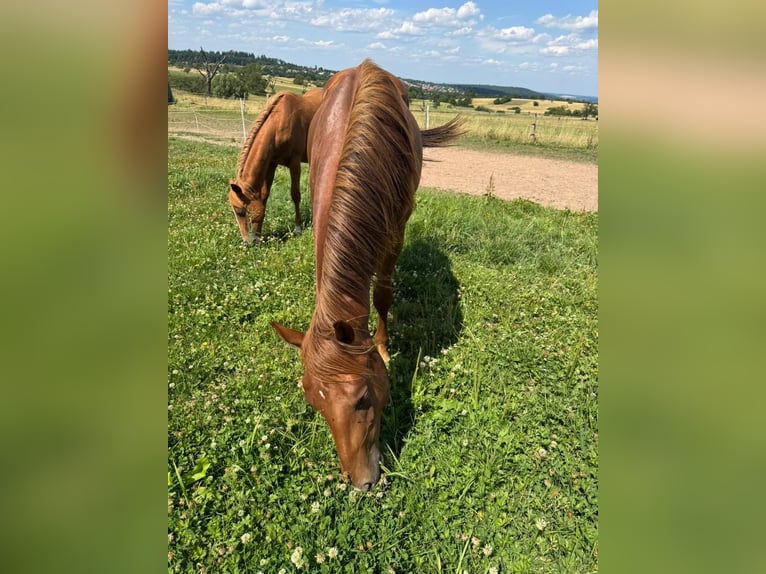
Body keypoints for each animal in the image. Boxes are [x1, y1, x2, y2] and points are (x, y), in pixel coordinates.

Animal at [228, 88, 323, 244]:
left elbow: (295, 194)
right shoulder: (272, 164)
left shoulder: (294, 162)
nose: (247, 242)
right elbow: (264, 195)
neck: (279, 123)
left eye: (240, 211)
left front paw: (297, 228)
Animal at [272, 60, 463, 490]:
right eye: (313, 402)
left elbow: (383, 295)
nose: (360, 483)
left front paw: (384, 348)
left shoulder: (395, 230)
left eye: (362, 398)